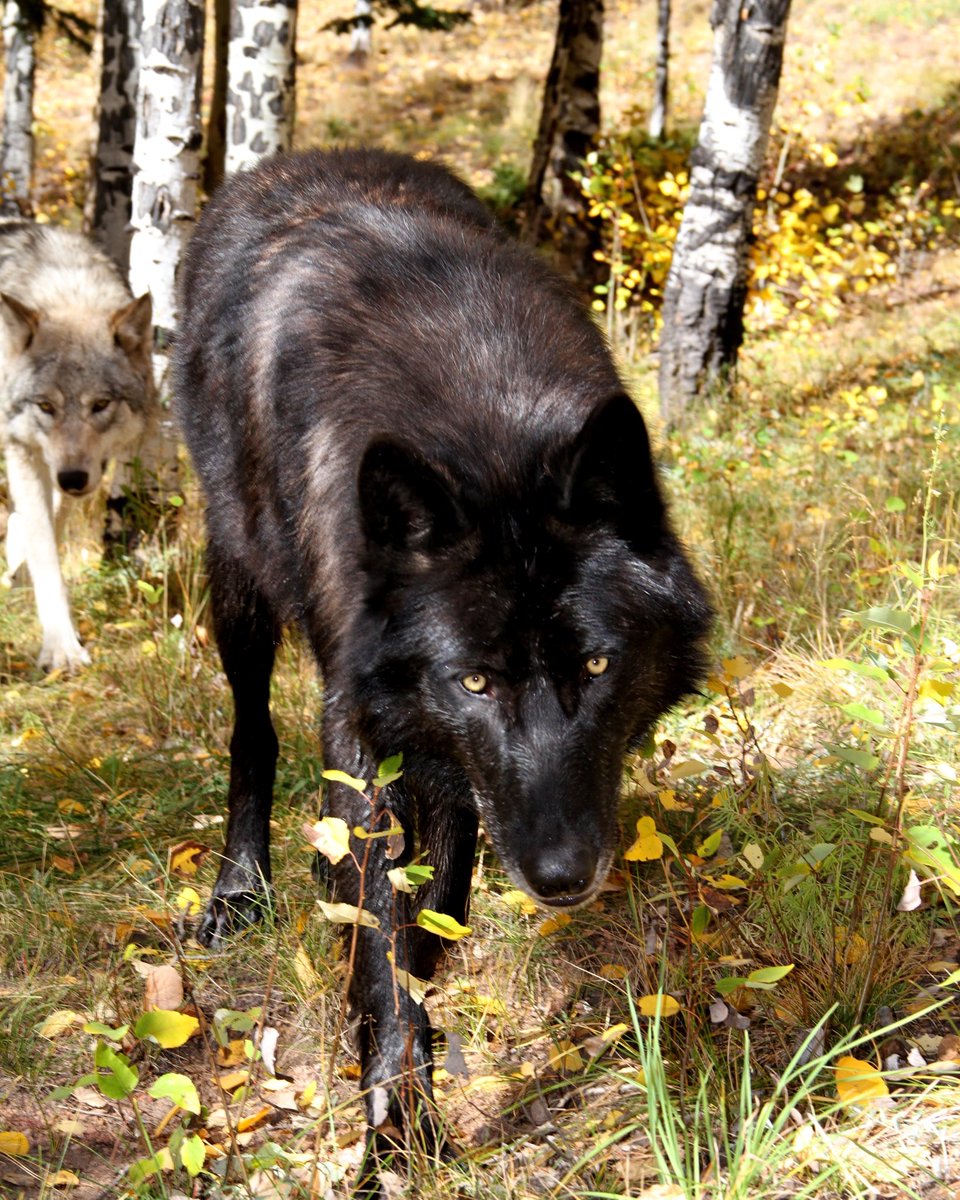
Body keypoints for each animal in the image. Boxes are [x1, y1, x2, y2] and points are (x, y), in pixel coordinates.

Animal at [0, 220, 153, 672]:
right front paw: (62, 648)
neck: (63, 289)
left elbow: (49, 519)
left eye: (99, 405)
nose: (71, 478)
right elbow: (46, 551)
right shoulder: (21, 447)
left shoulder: (85, 465)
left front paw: (17, 552)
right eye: (46, 406)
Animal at [172, 150, 710, 1180]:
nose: (562, 875)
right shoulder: (367, 723)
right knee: (251, 732)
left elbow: (426, 920)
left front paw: (407, 1077)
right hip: (240, 586)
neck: (486, 424)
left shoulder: (462, 772)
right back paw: (240, 890)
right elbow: (381, 942)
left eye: (596, 664)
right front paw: (394, 1128)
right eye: (475, 680)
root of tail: (291, 163)